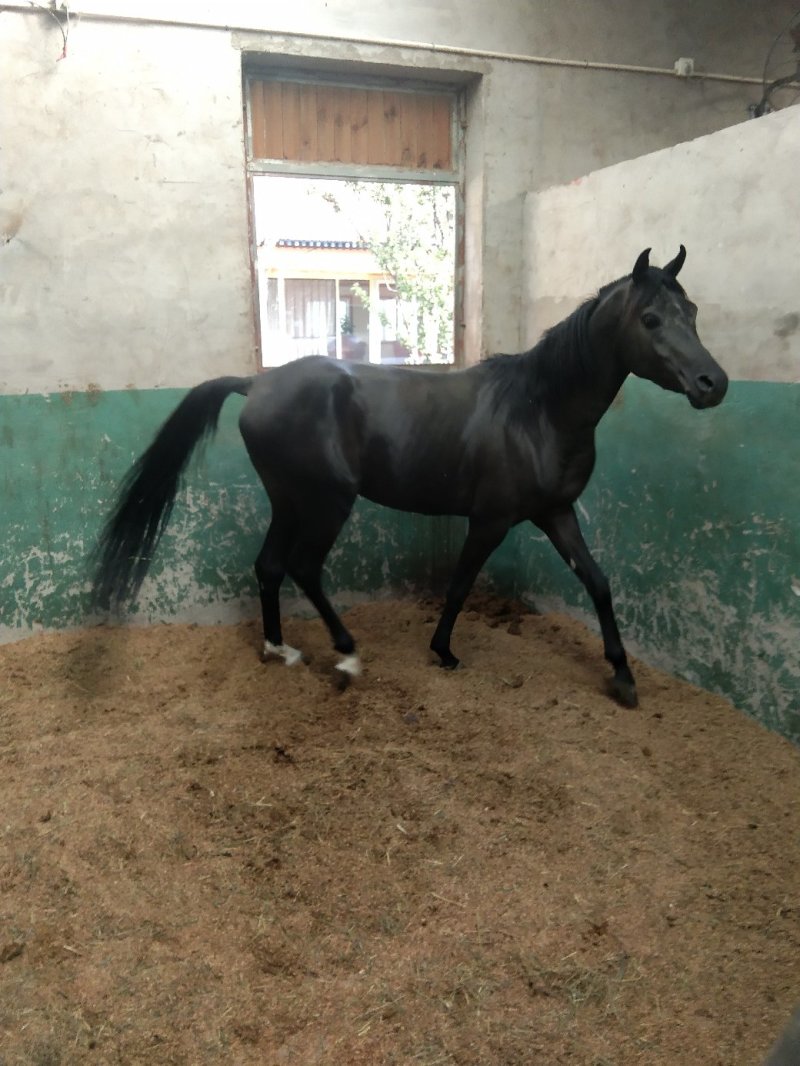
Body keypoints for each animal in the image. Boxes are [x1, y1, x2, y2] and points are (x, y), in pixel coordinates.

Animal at [90, 246, 728, 707]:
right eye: (650, 318)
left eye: (693, 313)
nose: (712, 384)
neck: (539, 409)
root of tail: (257, 384)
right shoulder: (491, 520)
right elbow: (460, 584)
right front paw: (443, 651)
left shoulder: (556, 513)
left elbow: (598, 583)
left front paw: (622, 676)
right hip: (326, 503)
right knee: (303, 567)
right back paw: (346, 655)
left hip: (289, 502)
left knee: (270, 566)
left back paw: (281, 650)